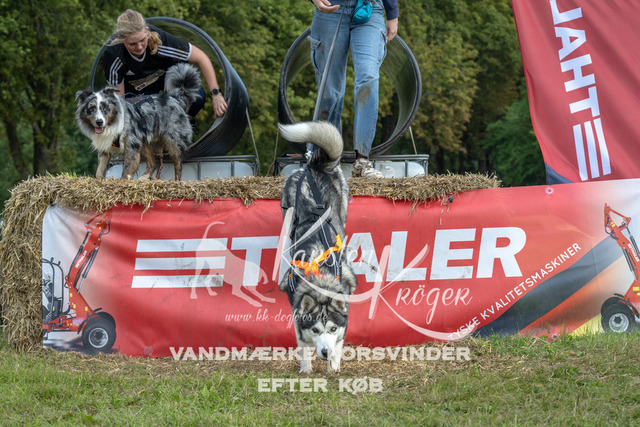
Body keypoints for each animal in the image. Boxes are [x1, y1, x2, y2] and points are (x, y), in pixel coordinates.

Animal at [278, 121, 357, 373]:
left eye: (332, 329)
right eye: (315, 330)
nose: (324, 352)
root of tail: (314, 166)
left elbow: (340, 343)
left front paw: (334, 366)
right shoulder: (296, 312)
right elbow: (302, 345)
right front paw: (306, 369)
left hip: (343, 206)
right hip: (286, 210)